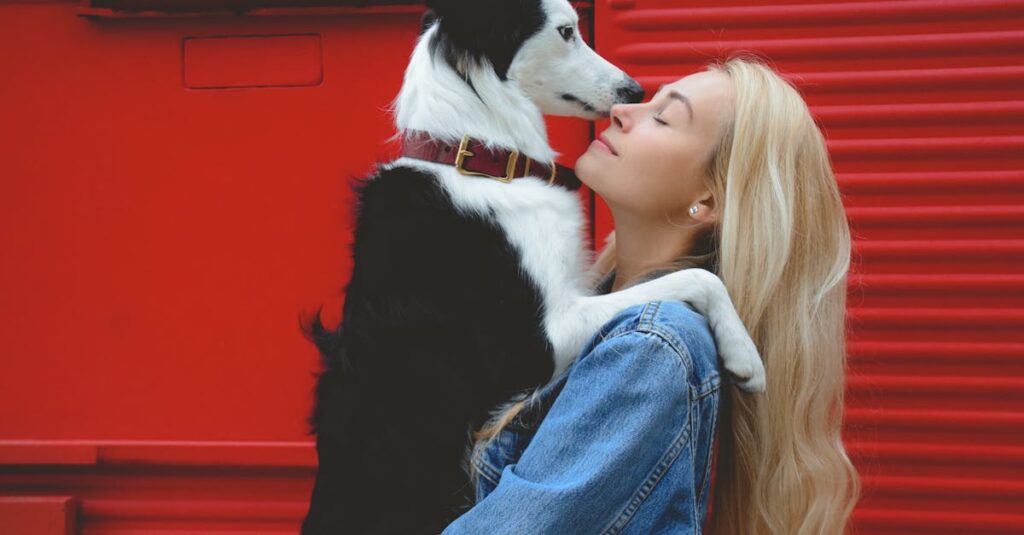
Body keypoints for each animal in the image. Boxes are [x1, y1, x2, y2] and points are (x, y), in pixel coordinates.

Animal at [299, 2, 765, 528]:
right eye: (565, 32)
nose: (634, 91)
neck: (477, 159)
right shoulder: (539, 341)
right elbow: (698, 276)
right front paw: (745, 354)